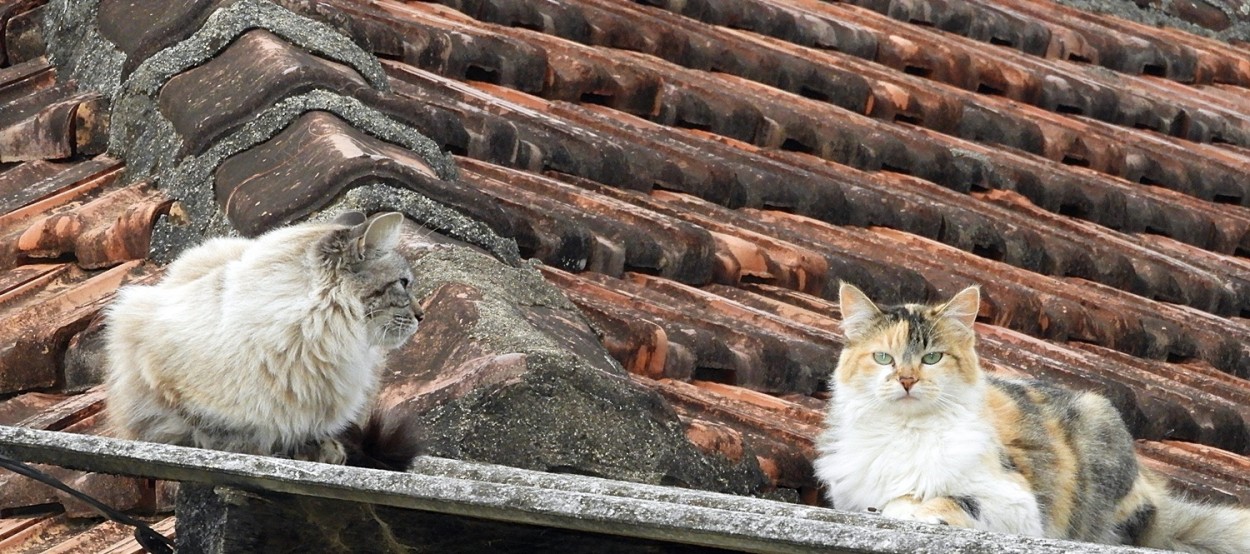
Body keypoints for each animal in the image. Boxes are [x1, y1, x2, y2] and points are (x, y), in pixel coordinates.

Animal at [105, 210, 422, 465]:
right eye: (404, 284)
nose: (421, 316)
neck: (309, 339)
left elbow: (306, 430)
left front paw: (318, 450)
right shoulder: (158, 370)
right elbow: (222, 430)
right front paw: (255, 449)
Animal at [810, 283, 1250, 552]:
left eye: (932, 357)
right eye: (883, 357)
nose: (906, 380)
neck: (906, 431)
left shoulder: (1016, 505)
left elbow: (926, 500)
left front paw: (917, 509)